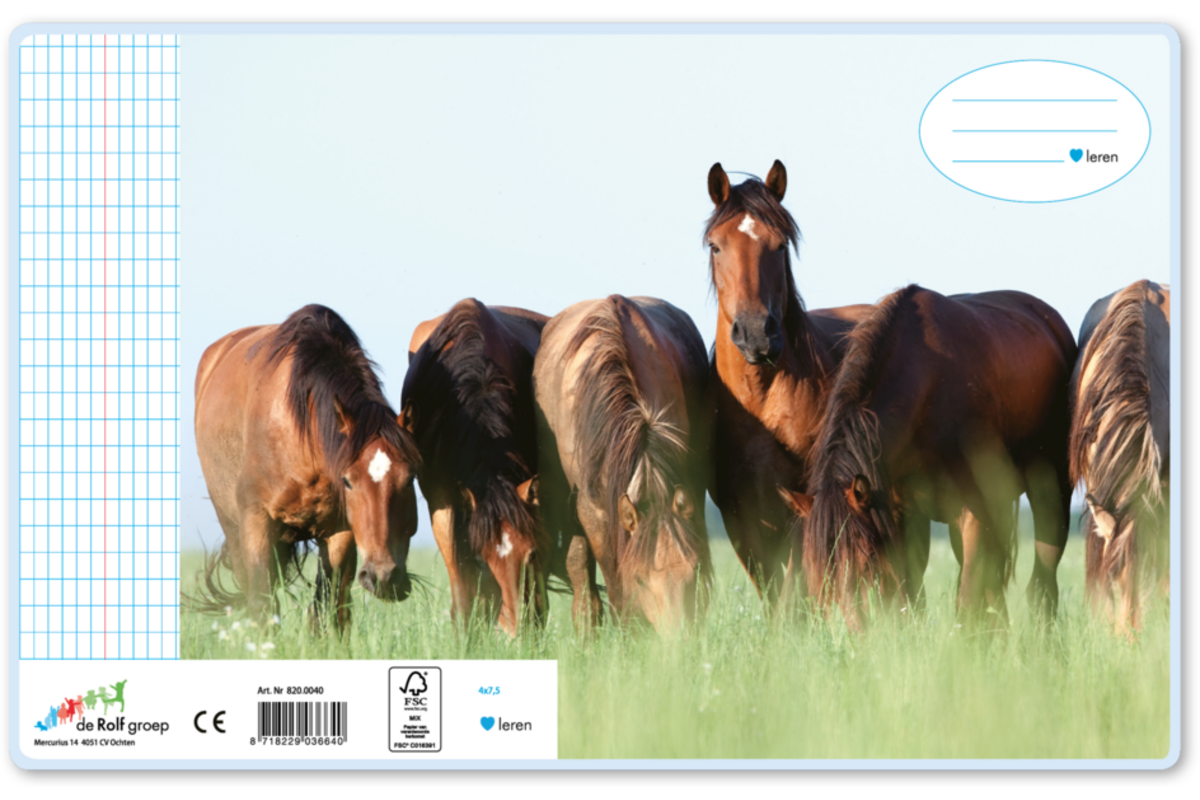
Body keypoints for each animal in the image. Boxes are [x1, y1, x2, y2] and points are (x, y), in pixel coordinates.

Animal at [194, 304, 421, 628]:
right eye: (348, 481)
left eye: (411, 477)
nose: (384, 577)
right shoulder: (256, 521)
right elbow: (262, 605)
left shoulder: (340, 532)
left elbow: (328, 609)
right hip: (233, 528)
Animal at [704, 160, 874, 606]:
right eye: (715, 246)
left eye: (780, 246)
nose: (755, 333)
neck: (761, 399)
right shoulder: (740, 516)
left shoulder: (803, 503)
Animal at [778, 285, 1076, 631]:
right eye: (816, 570)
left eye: (865, 560)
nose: (852, 634)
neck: (928, 391)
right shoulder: (901, 516)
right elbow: (910, 596)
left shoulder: (974, 513)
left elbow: (967, 601)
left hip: (1051, 496)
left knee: (1042, 579)